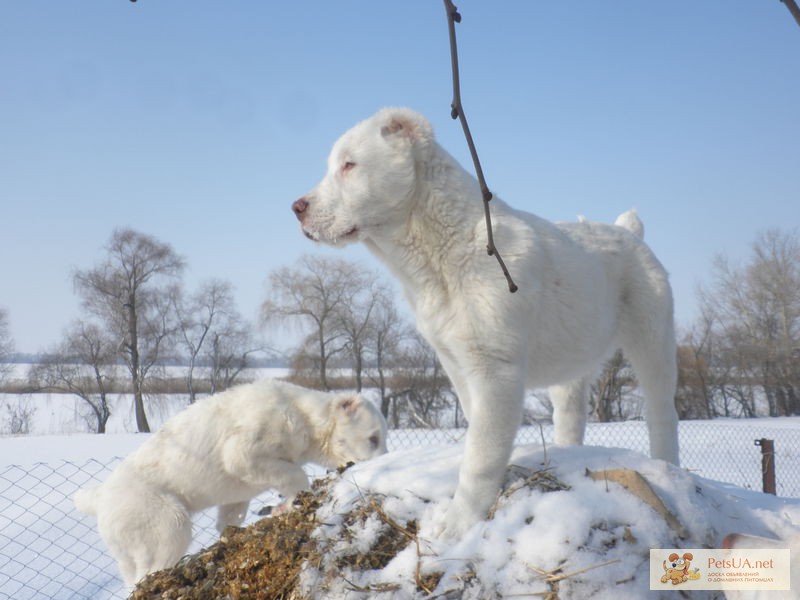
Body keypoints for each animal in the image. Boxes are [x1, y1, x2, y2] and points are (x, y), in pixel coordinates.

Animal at [75, 380, 388, 584]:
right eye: (373, 438)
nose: (384, 461)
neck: (304, 416)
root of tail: (99, 497)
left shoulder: (238, 495)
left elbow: (230, 519)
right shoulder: (242, 453)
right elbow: (295, 475)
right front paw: (289, 505)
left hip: (126, 550)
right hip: (166, 522)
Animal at [290, 106, 680, 540]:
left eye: (349, 165)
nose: (297, 207)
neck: (441, 253)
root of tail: (630, 232)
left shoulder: (495, 369)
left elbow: (480, 455)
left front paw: (457, 526)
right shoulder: (457, 364)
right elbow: (479, 434)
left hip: (653, 337)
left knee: (662, 411)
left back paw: (668, 467)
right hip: (574, 360)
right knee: (571, 411)